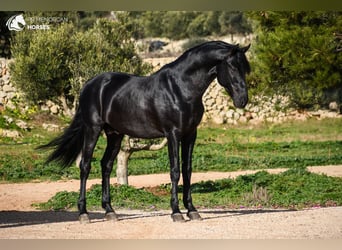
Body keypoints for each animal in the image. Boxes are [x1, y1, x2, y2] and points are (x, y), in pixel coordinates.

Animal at [40, 41, 250, 223]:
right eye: (232, 67)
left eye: (245, 68)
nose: (242, 100)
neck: (180, 88)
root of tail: (89, 85)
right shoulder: (173, 134)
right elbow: (175, 171)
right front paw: (176, 212)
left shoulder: (190, 135)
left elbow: (187, 170)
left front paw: (192, 210)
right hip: (93, 129)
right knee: (85, 166)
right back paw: (83, 213)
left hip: (115, 134)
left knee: (106, 165)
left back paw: (110, 211)